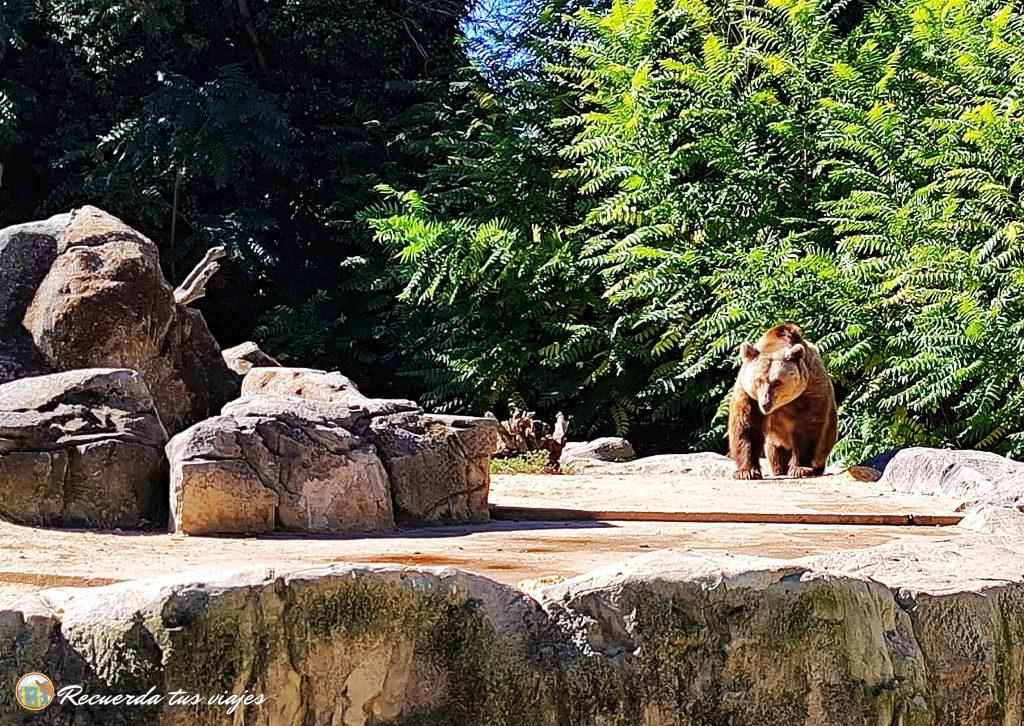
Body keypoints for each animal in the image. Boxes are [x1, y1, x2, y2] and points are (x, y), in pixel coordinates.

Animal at [728, 324, 837, 479]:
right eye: (759, 380)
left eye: (777, 382)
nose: (765, 403)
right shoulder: (747, 395)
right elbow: (745, 426)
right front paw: (747, 471)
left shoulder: (809, 390)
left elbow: (807, 428)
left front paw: (799, 468)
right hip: (773, 442)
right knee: (775, 453)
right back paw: (779, 468)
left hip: (827, 439)